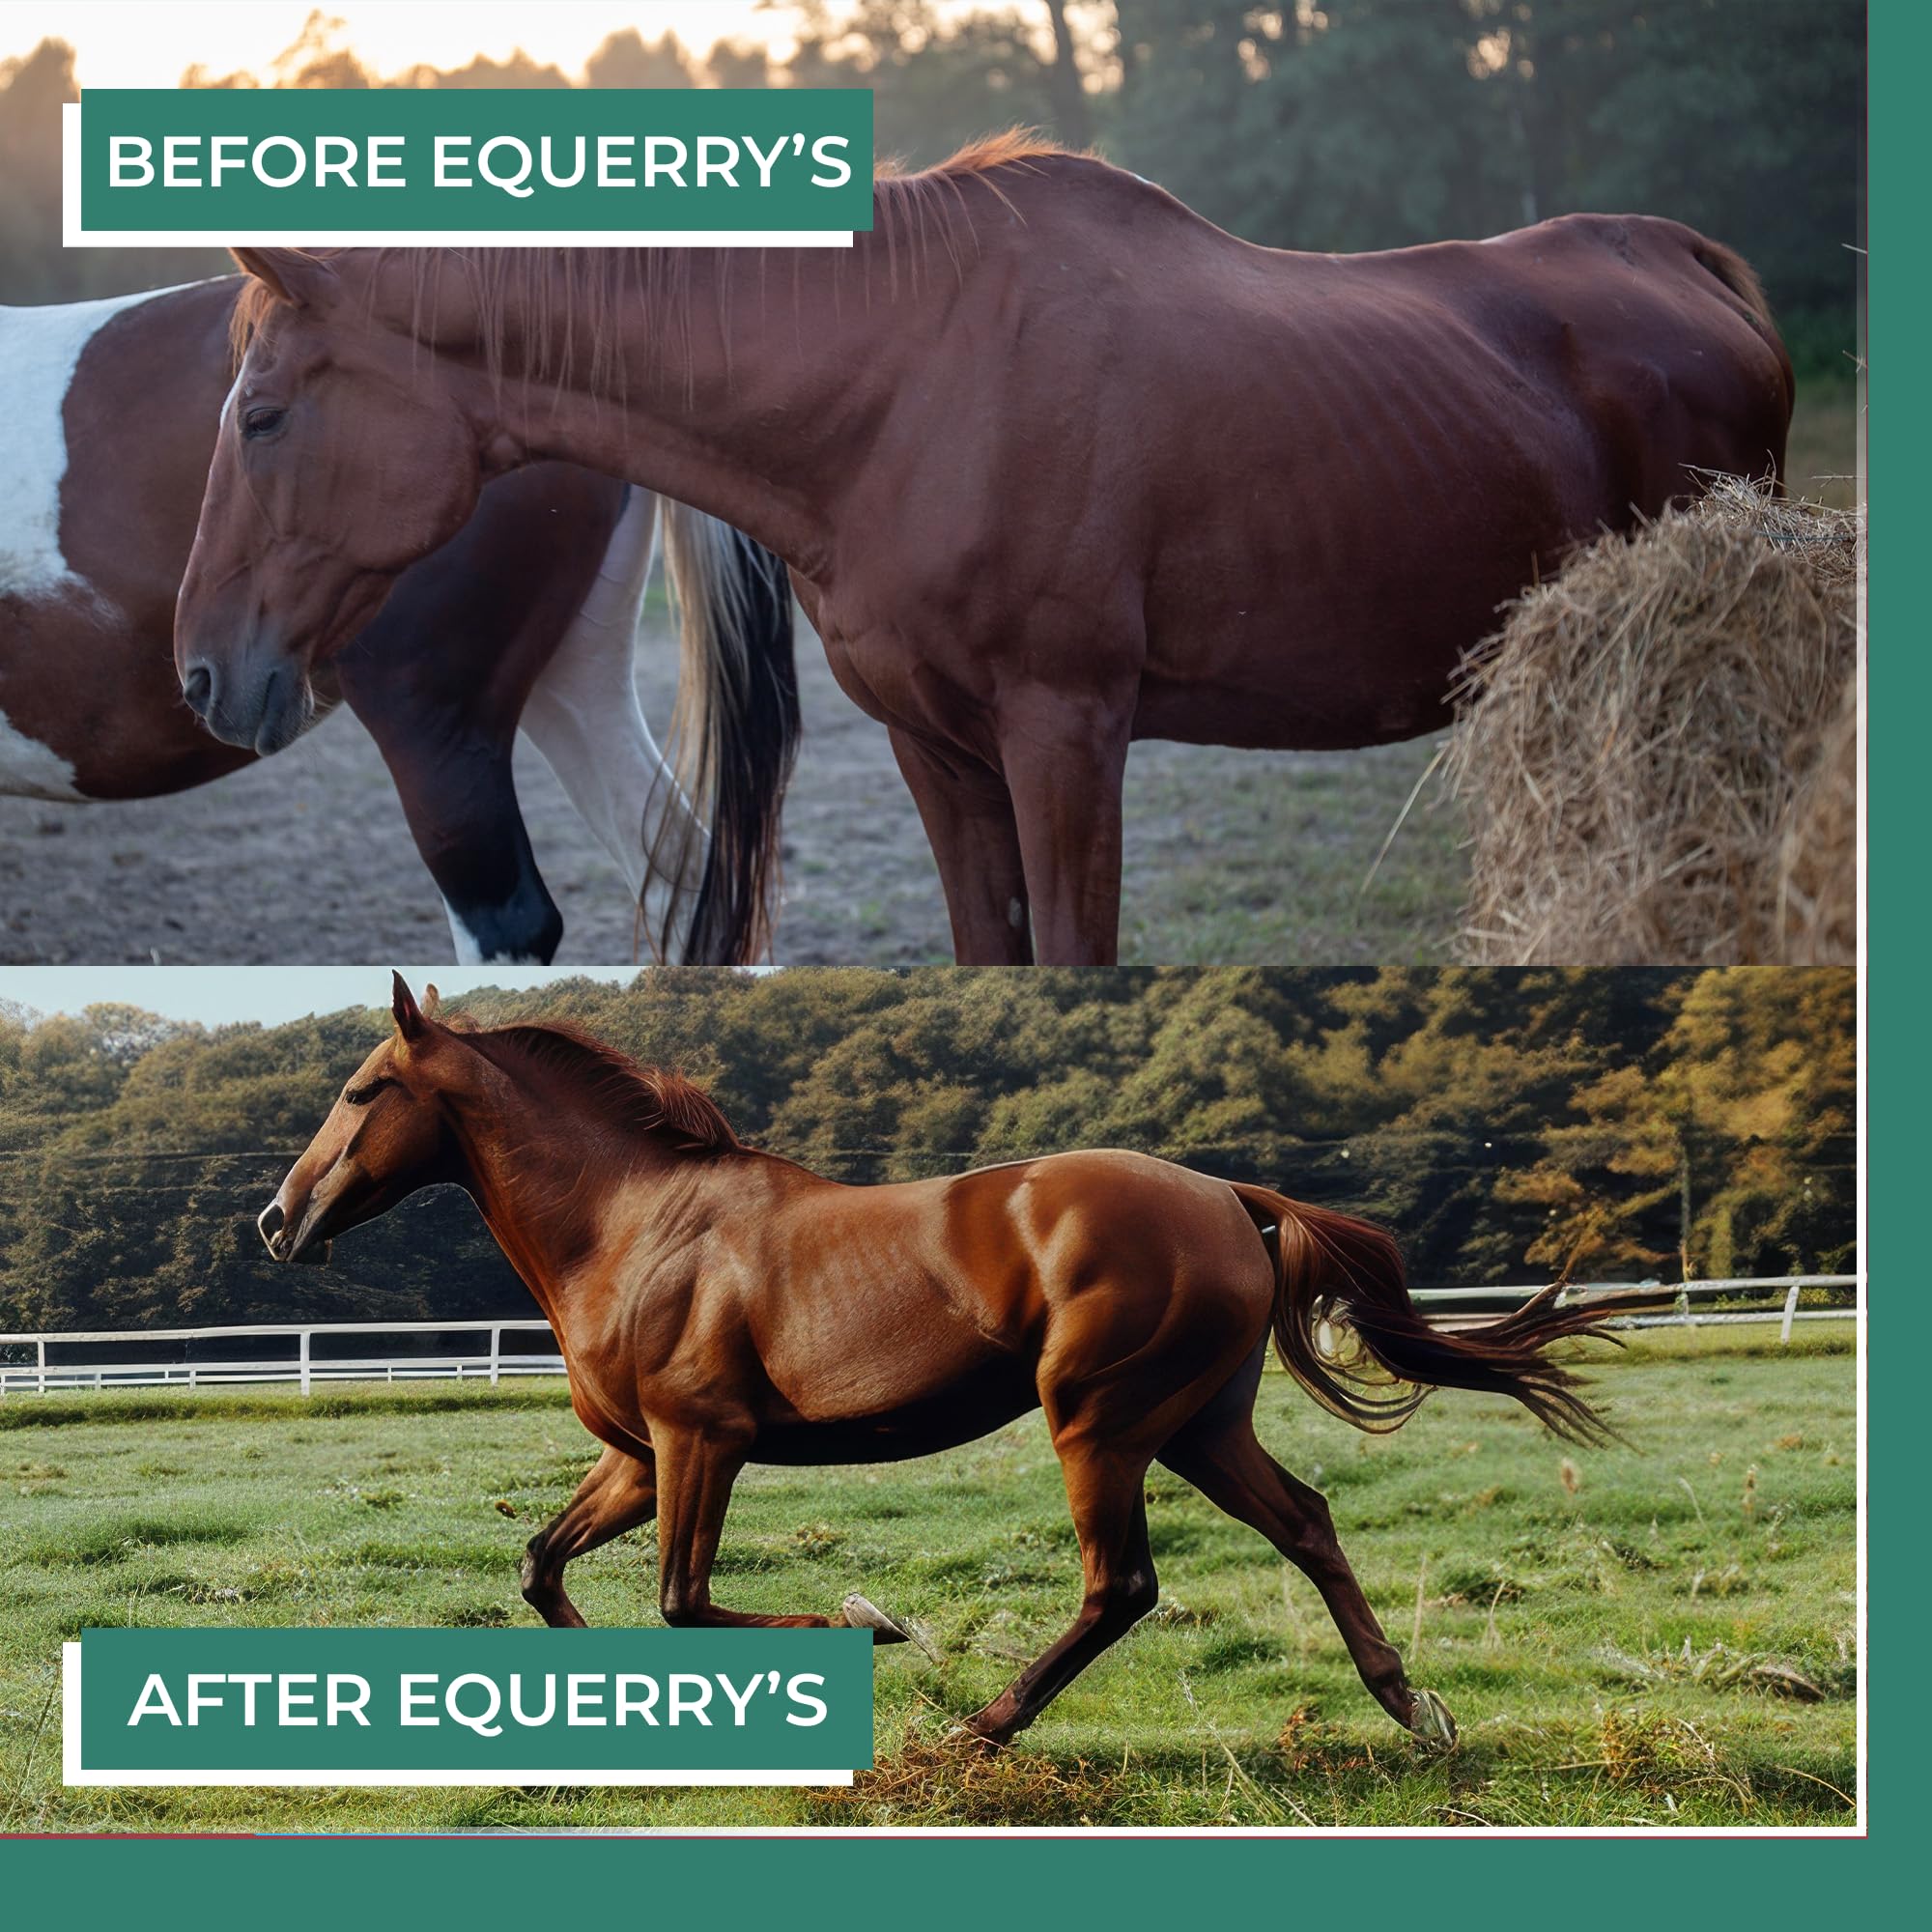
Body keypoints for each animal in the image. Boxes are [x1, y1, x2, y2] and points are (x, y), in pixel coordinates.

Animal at [1, 276, 798, 963]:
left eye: (261, 420)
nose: (198, 674)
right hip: (575, 682)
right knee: (684, 879)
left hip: (434, 730)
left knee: (509, 923)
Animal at [172, 138, 1795, 966]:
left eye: (262, 413)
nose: (200, 672)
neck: (907, 381)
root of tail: (1688, 264)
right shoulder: (937, 749)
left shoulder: (1066, 733)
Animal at [257, 972, 1621, 1747]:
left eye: (361, 1087)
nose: (277, 1218)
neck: (634, 1224)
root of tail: (1229, 1195)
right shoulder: (640, 1457)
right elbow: (543, 1567)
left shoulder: (703, 1441)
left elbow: (684, 1600)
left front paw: (873, 1621)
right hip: (1197, 1423)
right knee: (1306, 1521)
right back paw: (1411, 1707)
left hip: (1098, 1421)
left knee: (1121, 1584)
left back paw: (984, 1724)